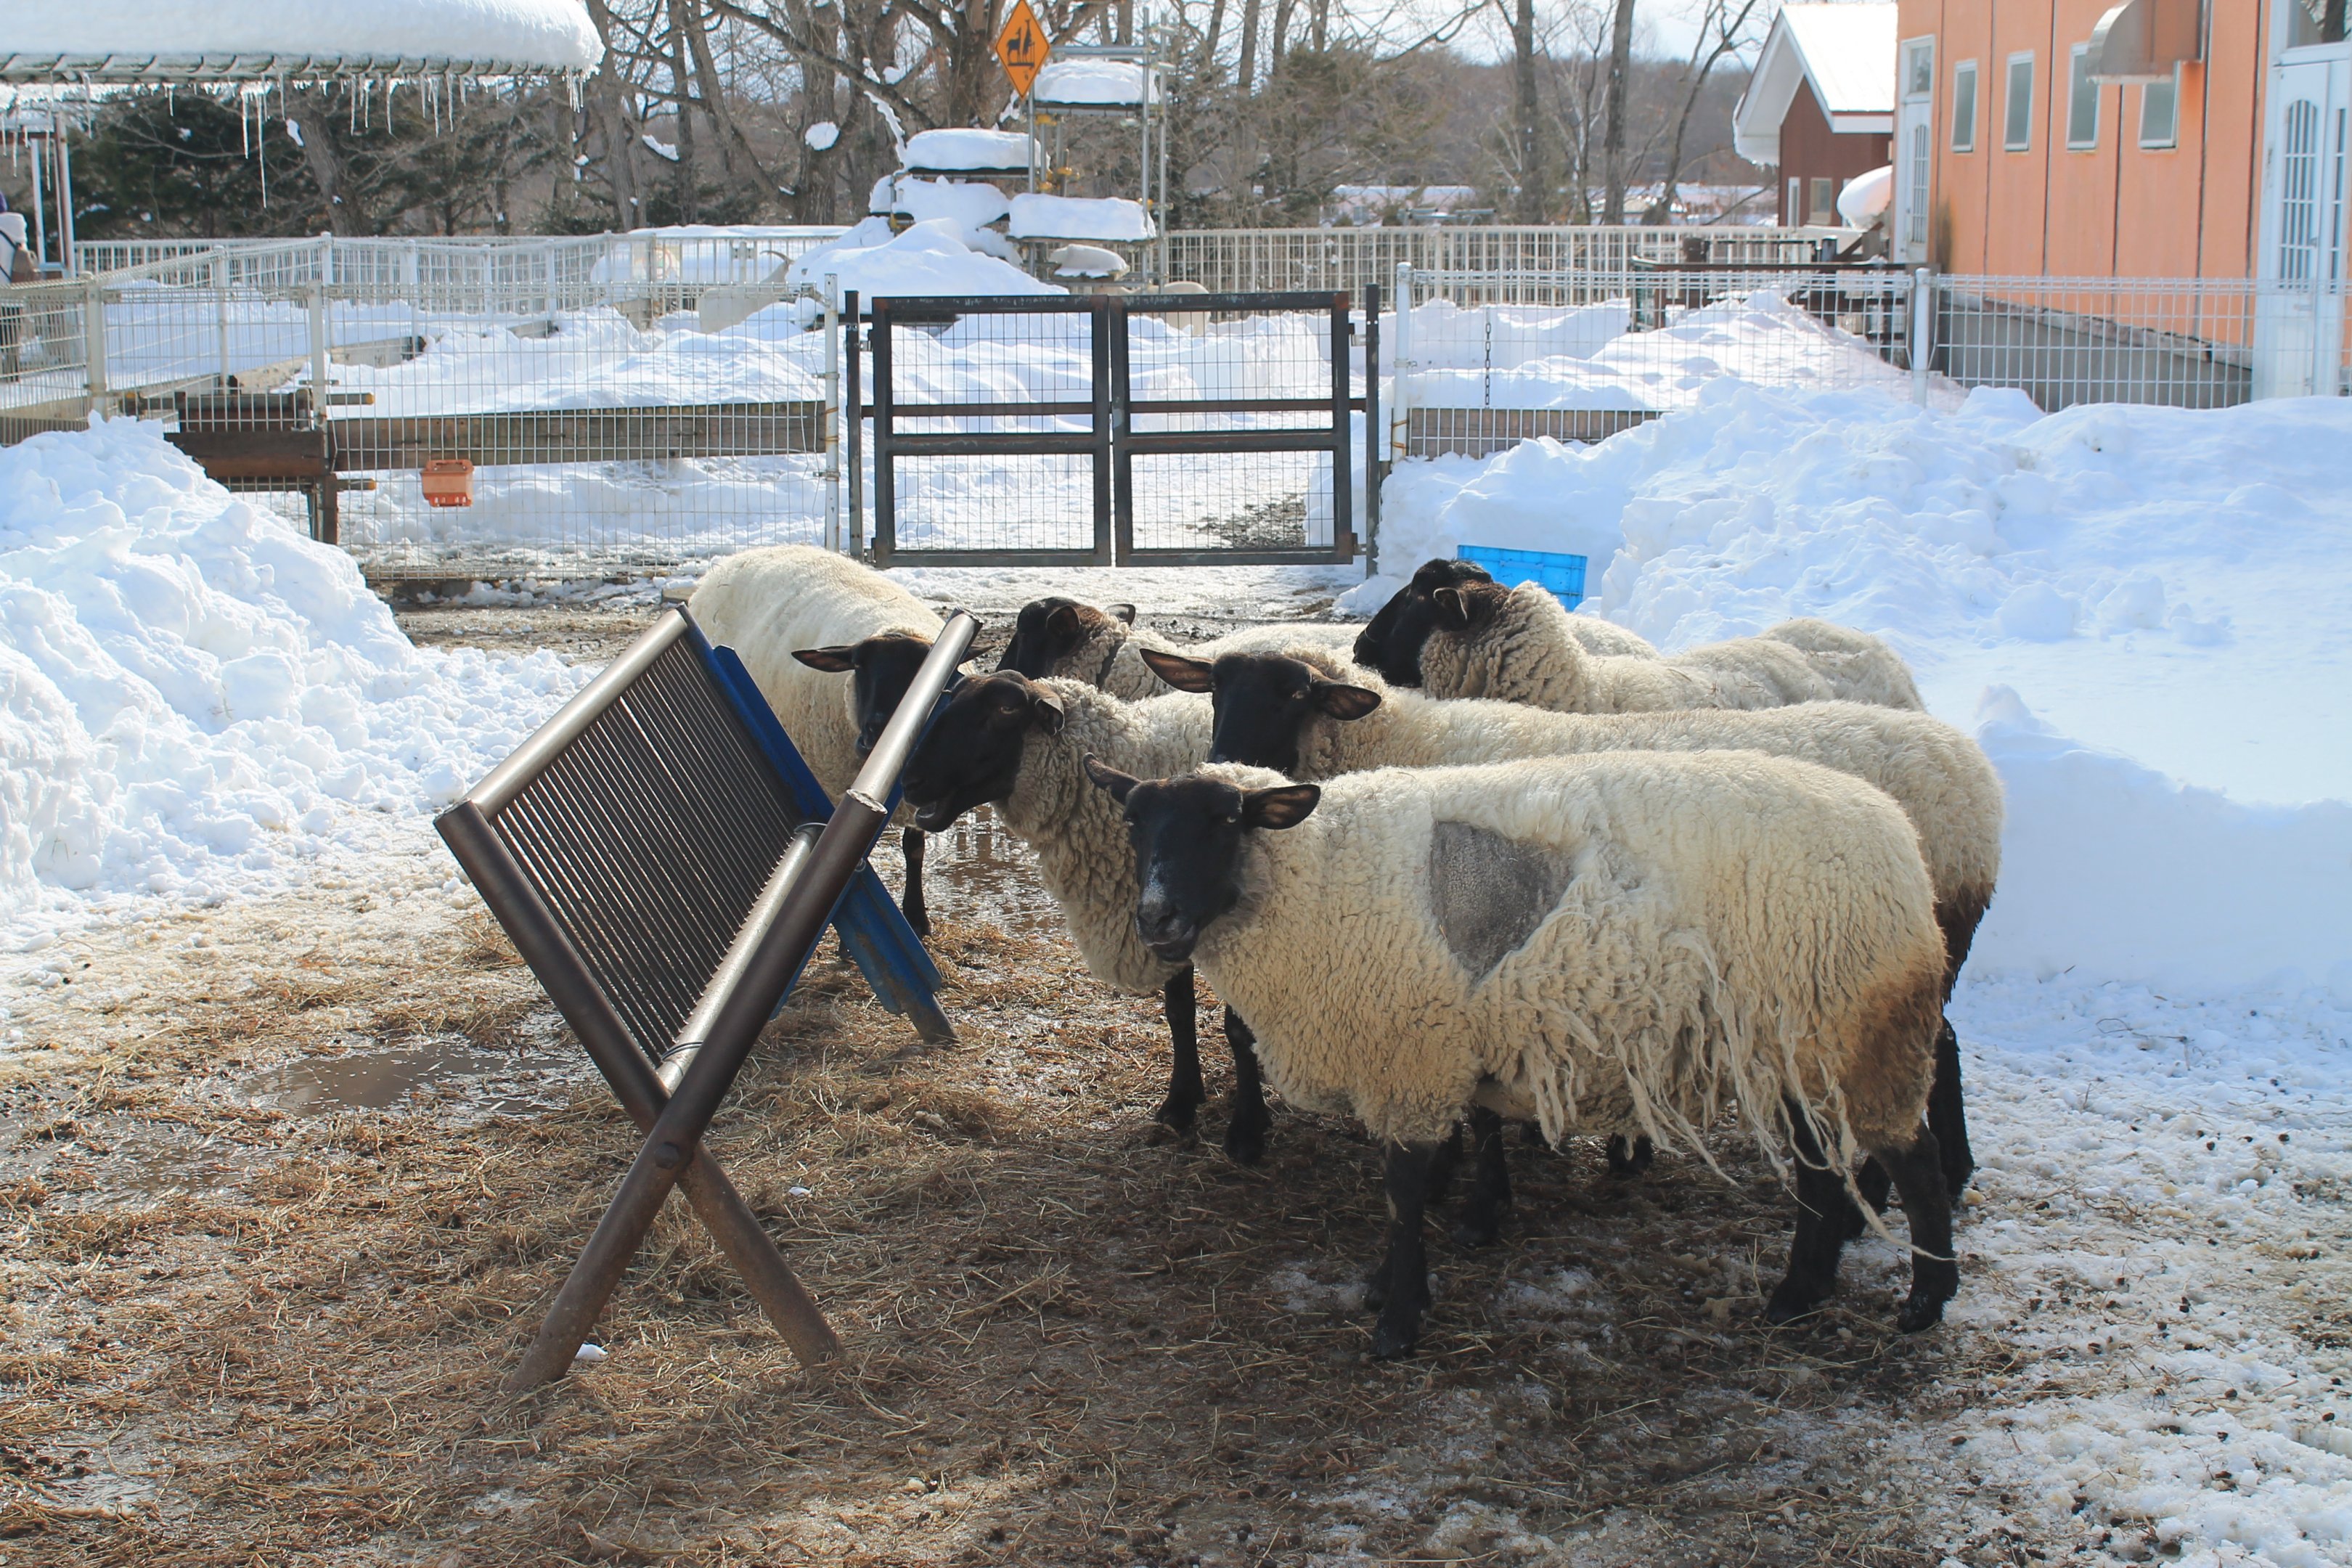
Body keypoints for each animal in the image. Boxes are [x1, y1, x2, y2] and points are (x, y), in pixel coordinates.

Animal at [897, 671, 1277, 1163]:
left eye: (1004, 710)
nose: (911, 782)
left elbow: (1237, 1027)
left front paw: (1248, 1128)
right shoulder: (1167, 925)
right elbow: (1179, 1012)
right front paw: (1180, 1102)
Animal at [1083, 750, 1958, 1358]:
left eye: (1227, 823)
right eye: (1134, 824)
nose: (1156, 920)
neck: (1318, 878)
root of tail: (1902, 839)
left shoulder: (1413, 1055)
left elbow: (1403, 1194)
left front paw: (1398, 1320)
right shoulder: (1437, 1054)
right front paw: (1399, 1282)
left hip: (1856, 1033)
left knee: (1916, 1162)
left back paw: (1925, 1298)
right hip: (1797, 1049)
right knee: (1821, 1169)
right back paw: (1798, 1296)